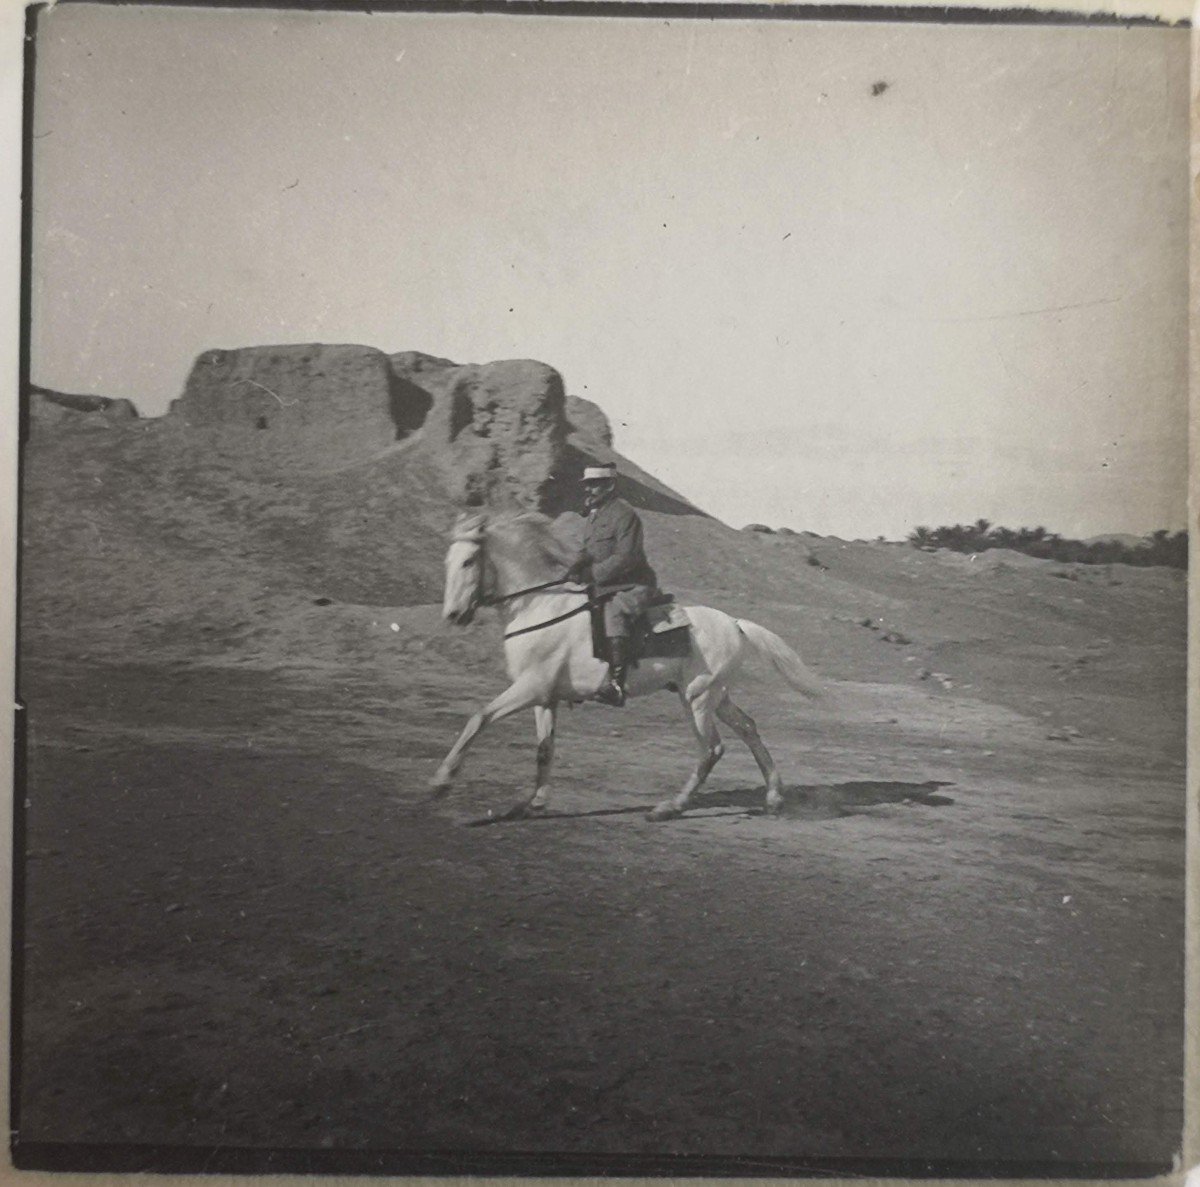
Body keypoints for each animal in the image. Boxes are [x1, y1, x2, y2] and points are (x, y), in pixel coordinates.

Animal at [432, 508, 825, 825]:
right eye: (447, 562)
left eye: (468, 562)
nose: (453, 615)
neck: (540, 607)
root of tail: (735, 624)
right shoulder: (545, 696)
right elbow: (545, 750)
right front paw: (534, 804)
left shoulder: (530, 687)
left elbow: (478, 718)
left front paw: (442, 782)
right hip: (717, 696)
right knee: (748, 728)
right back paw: (773, 797)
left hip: (697, 698)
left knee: (712, 749)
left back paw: (670, 807)